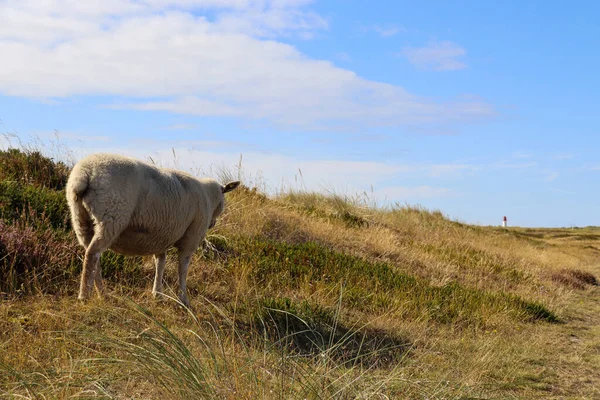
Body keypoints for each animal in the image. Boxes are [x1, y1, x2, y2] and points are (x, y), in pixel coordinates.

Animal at [65, 153, 239, 306]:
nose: (212, 224)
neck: (209, 196)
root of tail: (84, 173)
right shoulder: (191, 237)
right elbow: (182, 269)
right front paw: (183, 300)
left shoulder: (162, 236)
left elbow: (160, 263)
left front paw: (158, 293)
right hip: (112, 216)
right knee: (92, 254)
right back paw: (85, 296)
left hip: (80, 218)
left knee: (92, 255)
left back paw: (101, 293)